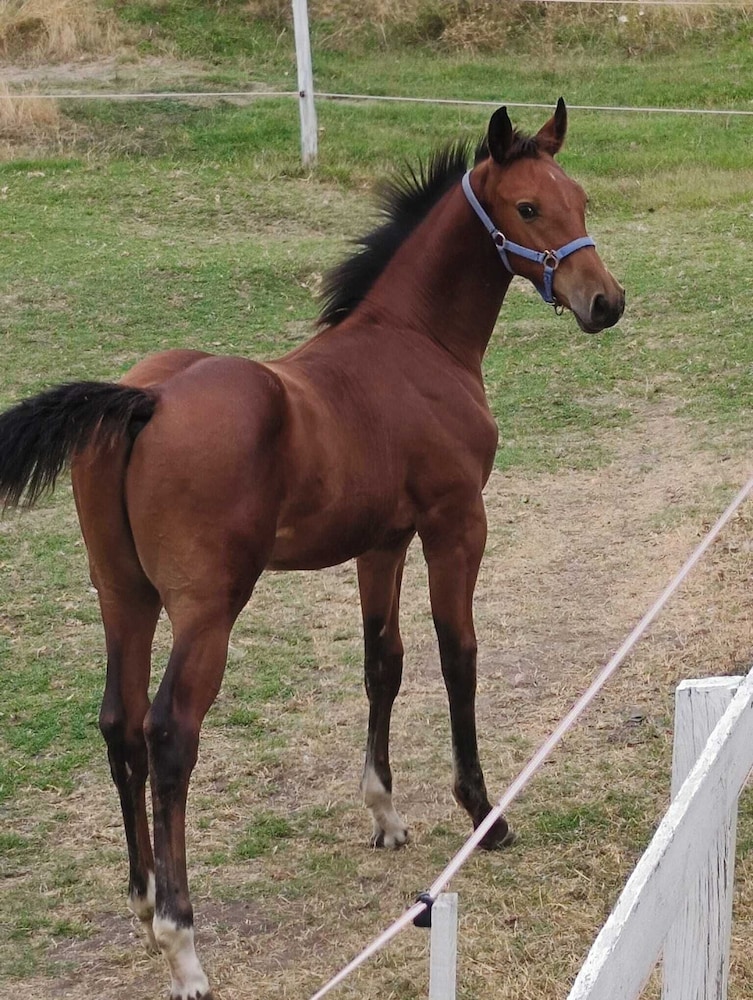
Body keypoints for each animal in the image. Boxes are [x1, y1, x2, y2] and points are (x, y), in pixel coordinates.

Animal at [0, 100, 624, 1000]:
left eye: (578, 197)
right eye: (528, 207)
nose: (604, 301)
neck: (413, 344)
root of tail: (144, 401)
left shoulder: (381, 543)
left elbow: (382, 662)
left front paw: (385, 813)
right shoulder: (455, 524)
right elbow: (456, 654)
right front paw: (484, 813)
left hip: (123, 595)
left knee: (119, 723)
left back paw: (144, 901)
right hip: (206, 609)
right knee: (169, 734)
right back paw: (182, 940)